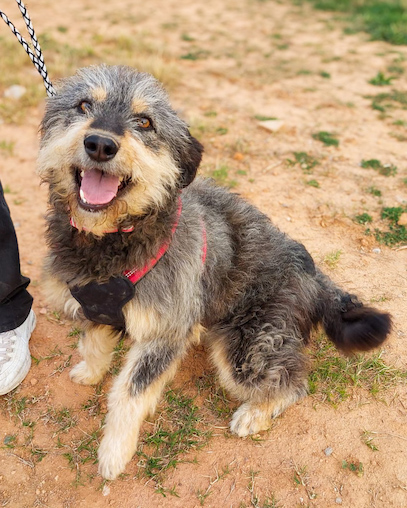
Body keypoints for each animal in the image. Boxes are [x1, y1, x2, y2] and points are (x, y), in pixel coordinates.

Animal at [37, 65, 391, 480]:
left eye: (145, 122)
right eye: (83, 105)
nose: (100, 144)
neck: (117, 237)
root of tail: (315, 277)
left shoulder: (165, 331)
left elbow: (130, 391)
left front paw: (114, 452)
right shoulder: (95, 303)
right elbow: (93, 343)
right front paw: (90, 373)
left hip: (246, 348)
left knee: (293, 383)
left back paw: (254, 414)